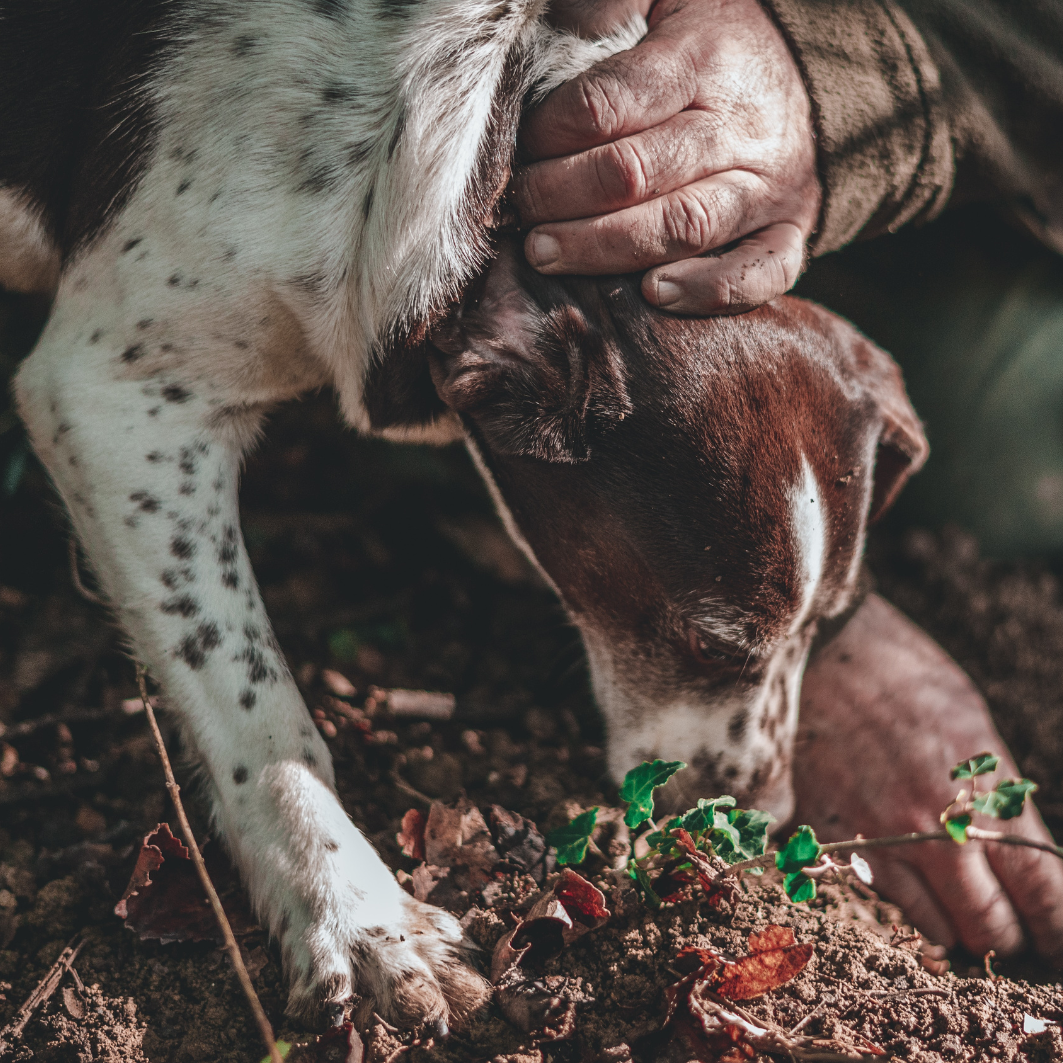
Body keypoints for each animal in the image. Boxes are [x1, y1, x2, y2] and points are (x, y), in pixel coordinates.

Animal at [0, 0, 926, 1033]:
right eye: (713, 642)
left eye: (832, 626)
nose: (761, 820)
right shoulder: (112, 397)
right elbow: (258, 709)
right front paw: (359, 918)